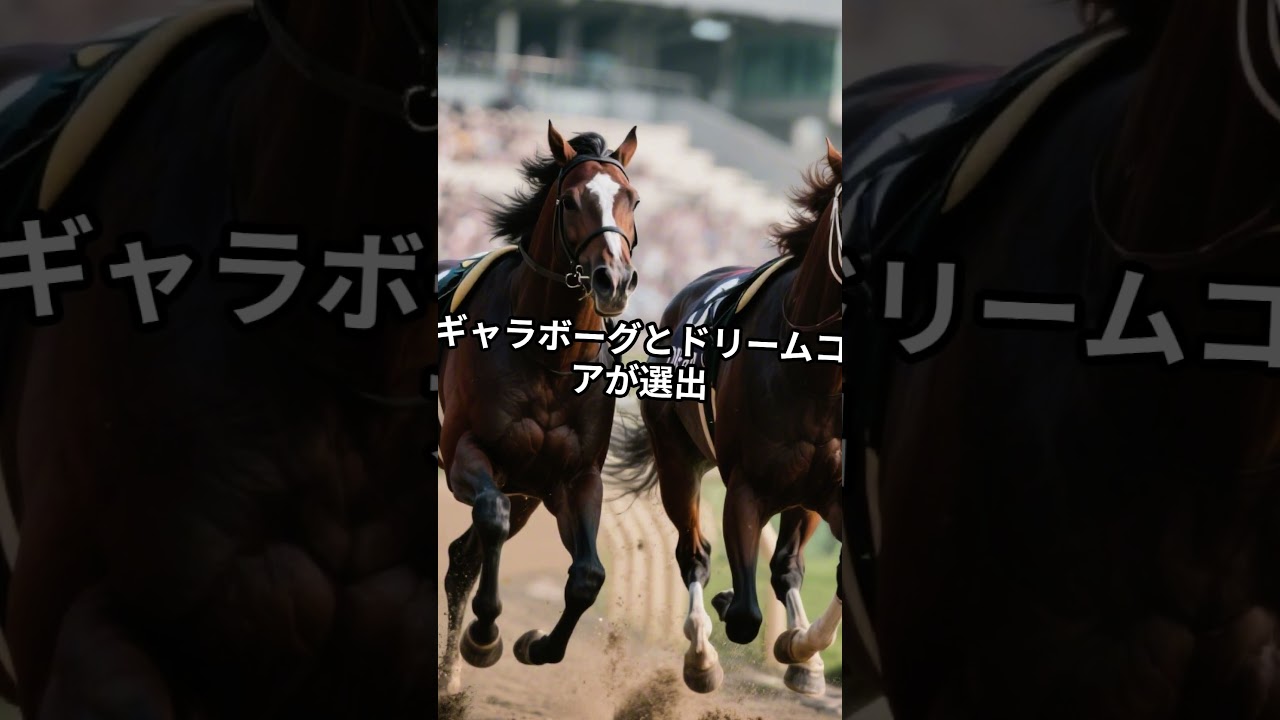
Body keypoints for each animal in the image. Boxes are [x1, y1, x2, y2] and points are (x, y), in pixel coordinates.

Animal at [435, 121, 641, 694]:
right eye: (570, 201)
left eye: (632, 199)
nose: (613, 281)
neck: (550, 355)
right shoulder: (465, 453)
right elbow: (492, 519)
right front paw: (484, 636)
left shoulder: (572, 477)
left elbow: (588, 575)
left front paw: (537, 645)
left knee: (462, 558)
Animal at [611, 141, 844, 699]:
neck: (815, 373)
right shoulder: (745, 489)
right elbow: (742, 614)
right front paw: (735, 612)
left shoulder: (827, 491)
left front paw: (803, 653)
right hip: (678, 461)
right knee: (693, 553)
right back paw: (701, 657)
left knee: (782, 567)